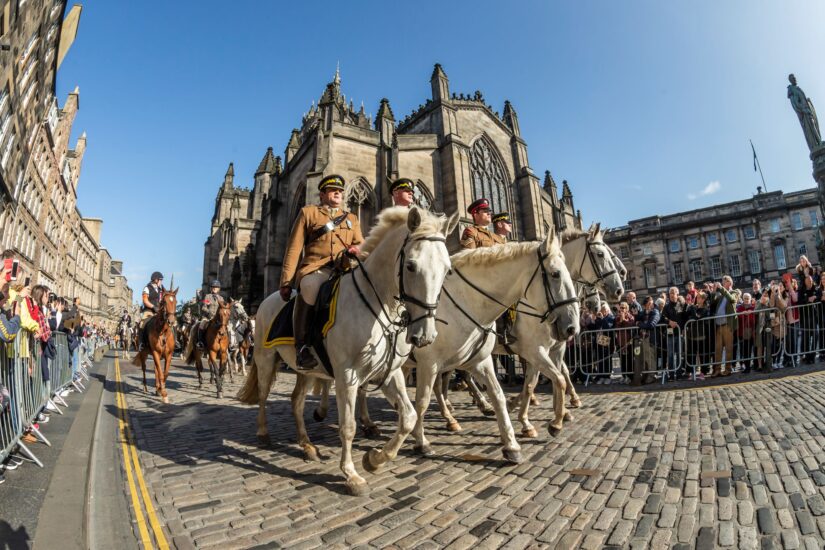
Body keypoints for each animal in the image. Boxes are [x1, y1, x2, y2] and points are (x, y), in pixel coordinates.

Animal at [237, 208, 458, 500]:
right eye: (410, 265)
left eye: (447, 269)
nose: (425, 335)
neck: (378, 306)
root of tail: (269, 299)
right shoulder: (347, 376)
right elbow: (348, 426)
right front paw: (352, 475)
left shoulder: (390, 372)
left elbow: (408, 416)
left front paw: (375, 459)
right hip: (264, 359)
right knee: (263, 395)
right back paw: (263, 433)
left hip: (305, 369)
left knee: (296, 402)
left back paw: (307, 445)